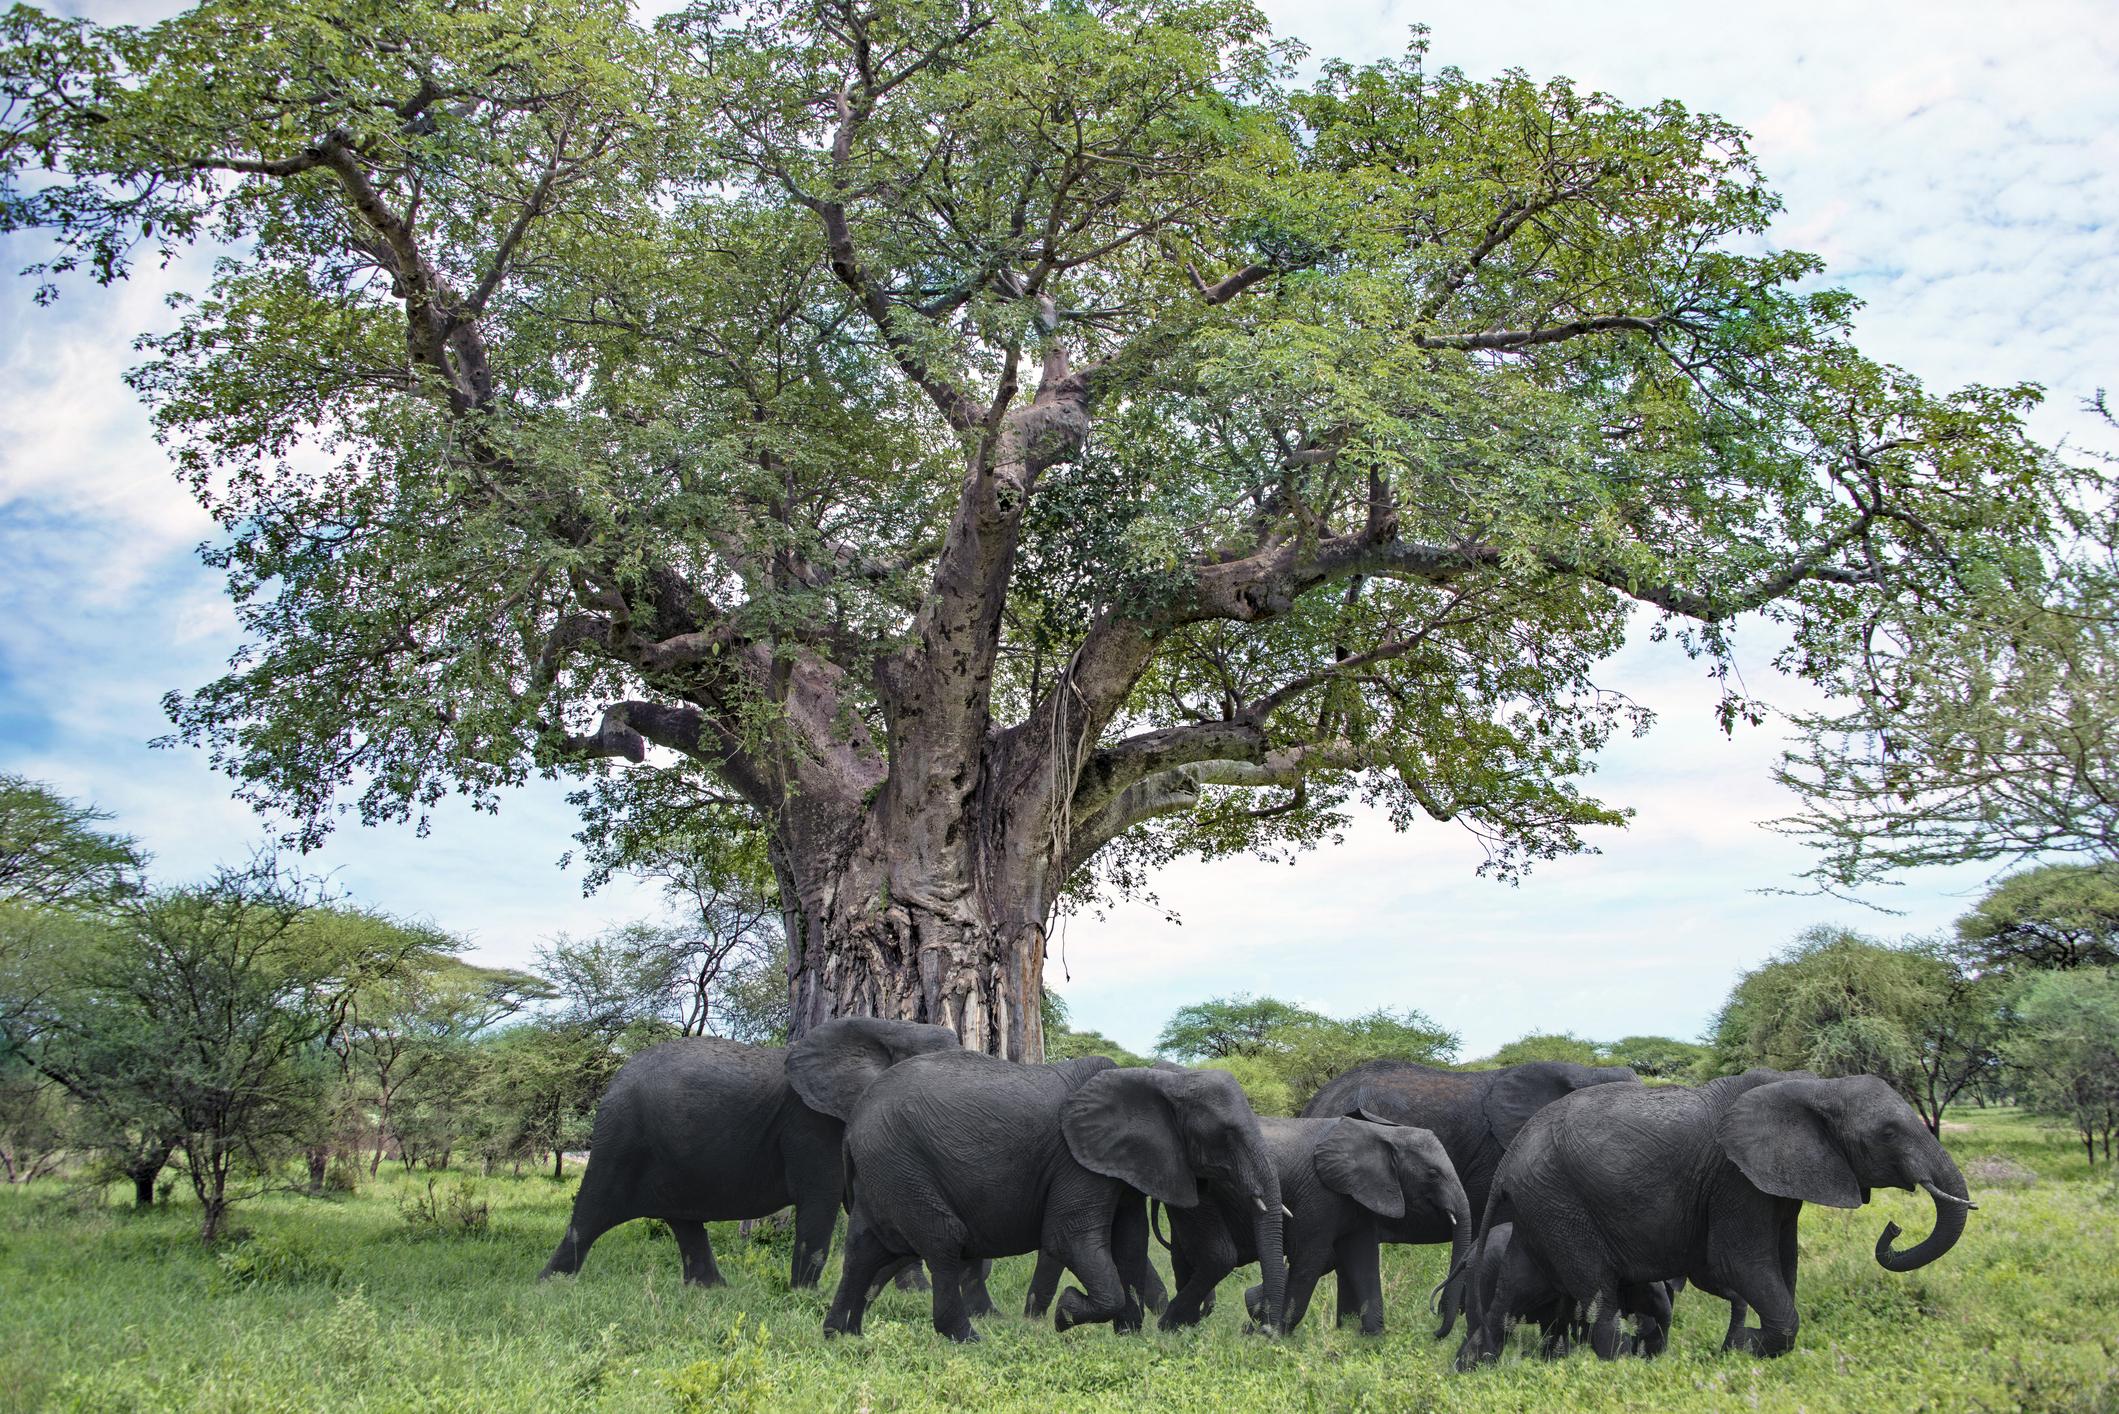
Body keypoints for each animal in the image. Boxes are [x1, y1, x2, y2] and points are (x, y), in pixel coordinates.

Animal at [539, 1017, 958, 1288]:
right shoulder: (812, 1125)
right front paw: (805, 1297)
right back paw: (551, 1285)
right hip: (622, 1135)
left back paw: (712, 1290)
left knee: (682, 1221)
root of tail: (615, 1077)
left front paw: (912, 1293)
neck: (890, 1026)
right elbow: (820, 1200)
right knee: (592, 1211)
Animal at [821, 1051, 1287, 1342]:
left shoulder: (1119, 1162)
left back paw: (843, 1336)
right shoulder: (1077, 1161)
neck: (1156, 1077)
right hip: (899, 1161)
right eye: (1225, 1135)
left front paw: (1128, 1334)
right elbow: (1071, 1238)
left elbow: (1129, 1245)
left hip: (885, 1170)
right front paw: (1066, 1314)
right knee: (942, 1239)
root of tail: (854, 1121)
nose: (1262, 1331)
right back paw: (968, 1339)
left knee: (864, 1248)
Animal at [1155, 1113, 1472, 1336]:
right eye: (1432, 1174)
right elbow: (1310, 1257)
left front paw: (1371, 1340)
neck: (1381, 1132)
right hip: (1201, 1196)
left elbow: (1363, 1259)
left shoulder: (1357, 1197)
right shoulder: (1321, 1193)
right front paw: (1276, 1338)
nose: (1435, 1325)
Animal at [1456, 1069, 1973, 1365]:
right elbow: (1740, 1262)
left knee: (1515, 1290)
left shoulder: (1775, 1180)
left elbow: (1784, 1262)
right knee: (1595, 1290)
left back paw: (1478, 1365)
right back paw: (1621, 1367)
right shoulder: (1734, 1178)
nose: (1893, 1229)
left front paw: (1742, 1350)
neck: (1817, 1085)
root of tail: (1510, 1159)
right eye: (1888, 1133)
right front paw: (1746, 1349)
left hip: (1541, 1206)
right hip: (1560, 1202)